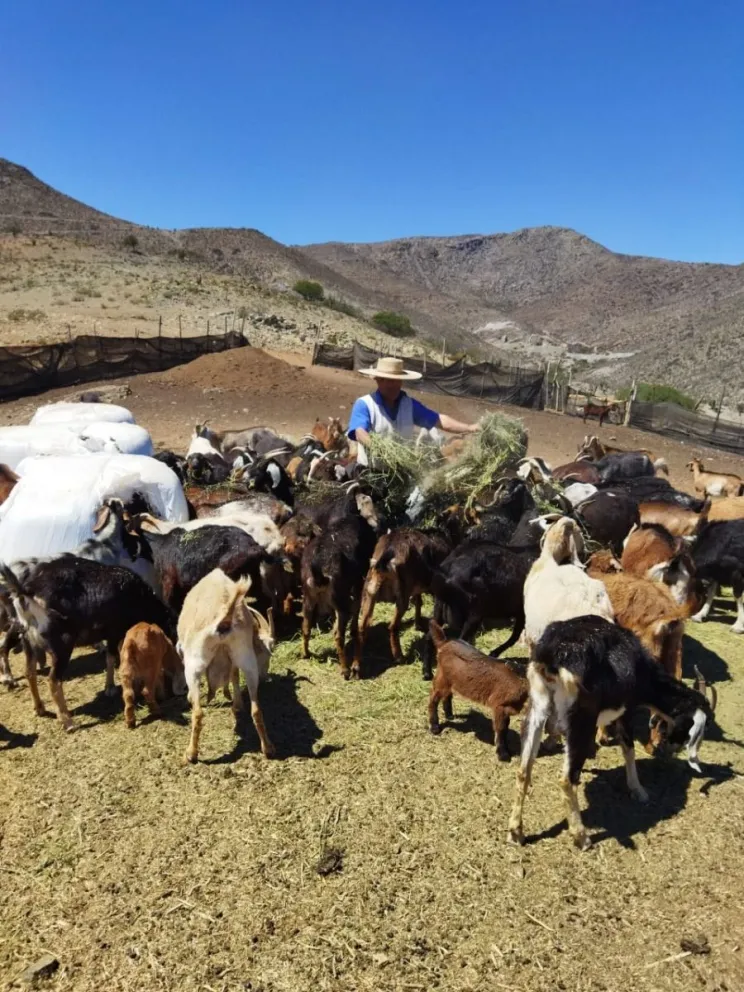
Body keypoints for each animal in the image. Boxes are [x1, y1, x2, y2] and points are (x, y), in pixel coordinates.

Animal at [0, 558, 174, 731]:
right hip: (61, 644)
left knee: (29, 672)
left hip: (27, 640)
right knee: (53, 679)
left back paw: (39, 708)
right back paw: (67, 721)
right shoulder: (114, 631)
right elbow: (111, 657)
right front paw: (110, 688)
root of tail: (26, 592)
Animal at [177, 569, 275, 763]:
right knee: (256, 709)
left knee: (198, 713)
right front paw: (235, 703)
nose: (266, 677)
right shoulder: (236, 661)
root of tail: (225, 620)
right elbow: (234, 675)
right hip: (246, 660)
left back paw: (191, 753)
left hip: (194, 664)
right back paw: (268, 748)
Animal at [358, 528, 451, 663]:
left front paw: (418, 624)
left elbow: (418, 601)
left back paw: (356, 664)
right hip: (402, 595)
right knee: (393, 627)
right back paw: (399, 657)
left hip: (369, 592)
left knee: (362, 625)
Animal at [428, 620, 528, 760]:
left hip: (451, 680)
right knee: (433, 698)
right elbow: (501, 729)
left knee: (447, 695)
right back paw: (434, 727)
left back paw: (449, 715)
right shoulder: (500, 705)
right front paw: (503, 754)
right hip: (442, 679)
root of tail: (445, 642)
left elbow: (505, 728)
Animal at [507, 616, 715, 850]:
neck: (642, 669)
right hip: (581, 720)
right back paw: (581, 837)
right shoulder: (626, 709)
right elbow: (628, 749)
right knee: (566, 779)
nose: (674, 748)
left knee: (523, 769)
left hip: (536, 709)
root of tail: (553, 654)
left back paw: (516, 831)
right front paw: (638, 790)